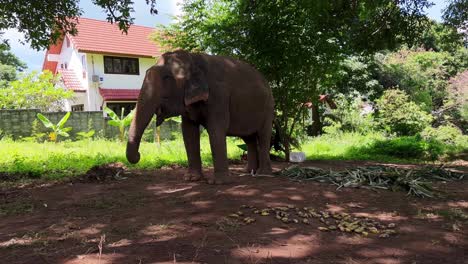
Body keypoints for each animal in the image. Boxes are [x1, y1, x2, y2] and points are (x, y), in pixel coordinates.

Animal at [126, 50, 276, 185]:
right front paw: (191, 179)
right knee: (249, 139)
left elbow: (216, 130)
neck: (193, 58)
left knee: (263, 136)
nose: (139, 155)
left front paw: (218, 182)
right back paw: (248, 171)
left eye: (167, 78)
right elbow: (188, 132)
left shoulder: (218, 95)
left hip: (268, 107)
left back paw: (263, 173)